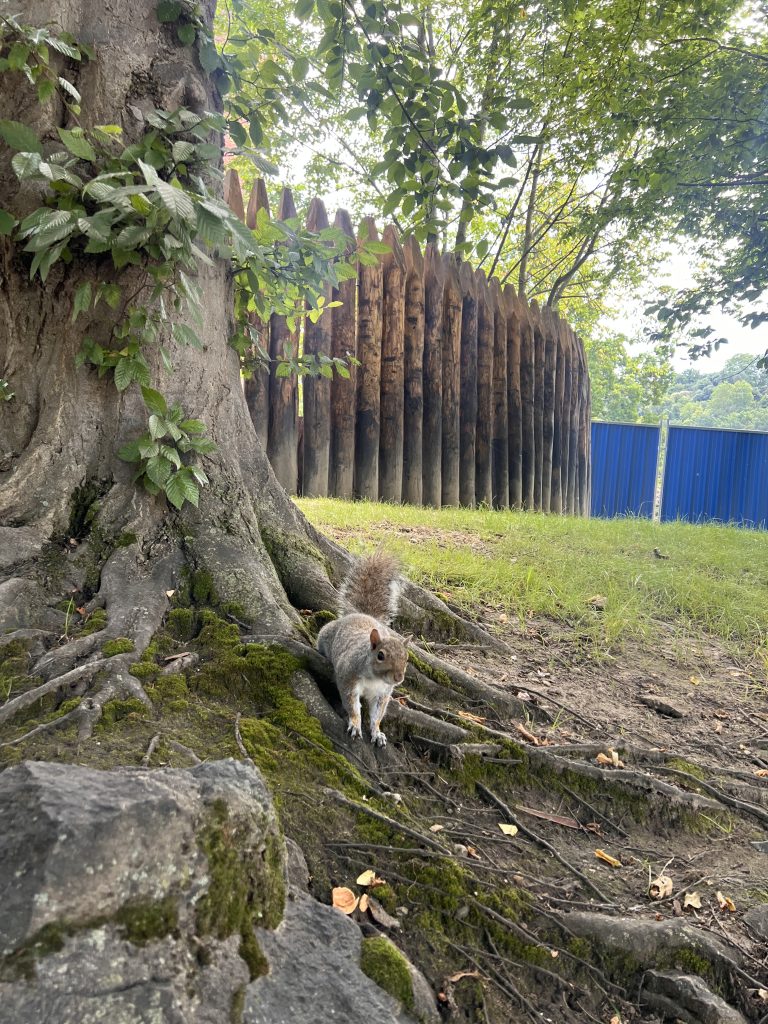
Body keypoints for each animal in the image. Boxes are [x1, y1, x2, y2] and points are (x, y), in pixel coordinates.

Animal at [319, 548, 411, 749]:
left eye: (406, 658)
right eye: (381, 655)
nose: (398, 678)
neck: (375, 679)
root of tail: (361, 614)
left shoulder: (382, 693)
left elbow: (377, 714)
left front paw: (377, 732)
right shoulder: (348, 677)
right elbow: (352, 705)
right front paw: (355, 724)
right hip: (324, 635)